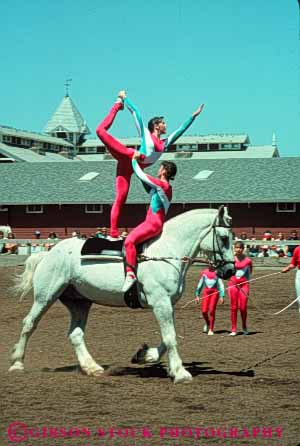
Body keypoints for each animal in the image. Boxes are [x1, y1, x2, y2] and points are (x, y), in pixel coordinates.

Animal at [9, 206, 234, 384]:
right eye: (224, 238)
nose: (230, 271)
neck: (167, 252)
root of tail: (49, 252)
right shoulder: (160, 303)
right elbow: (170, 337)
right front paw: (180, 373)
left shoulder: (167, 304)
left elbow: (167, 337)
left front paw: (145, 355)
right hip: (45, 297)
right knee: (29, 324)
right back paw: (17, 364)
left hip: (80, 303)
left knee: (75, 334)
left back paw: (92, 367)